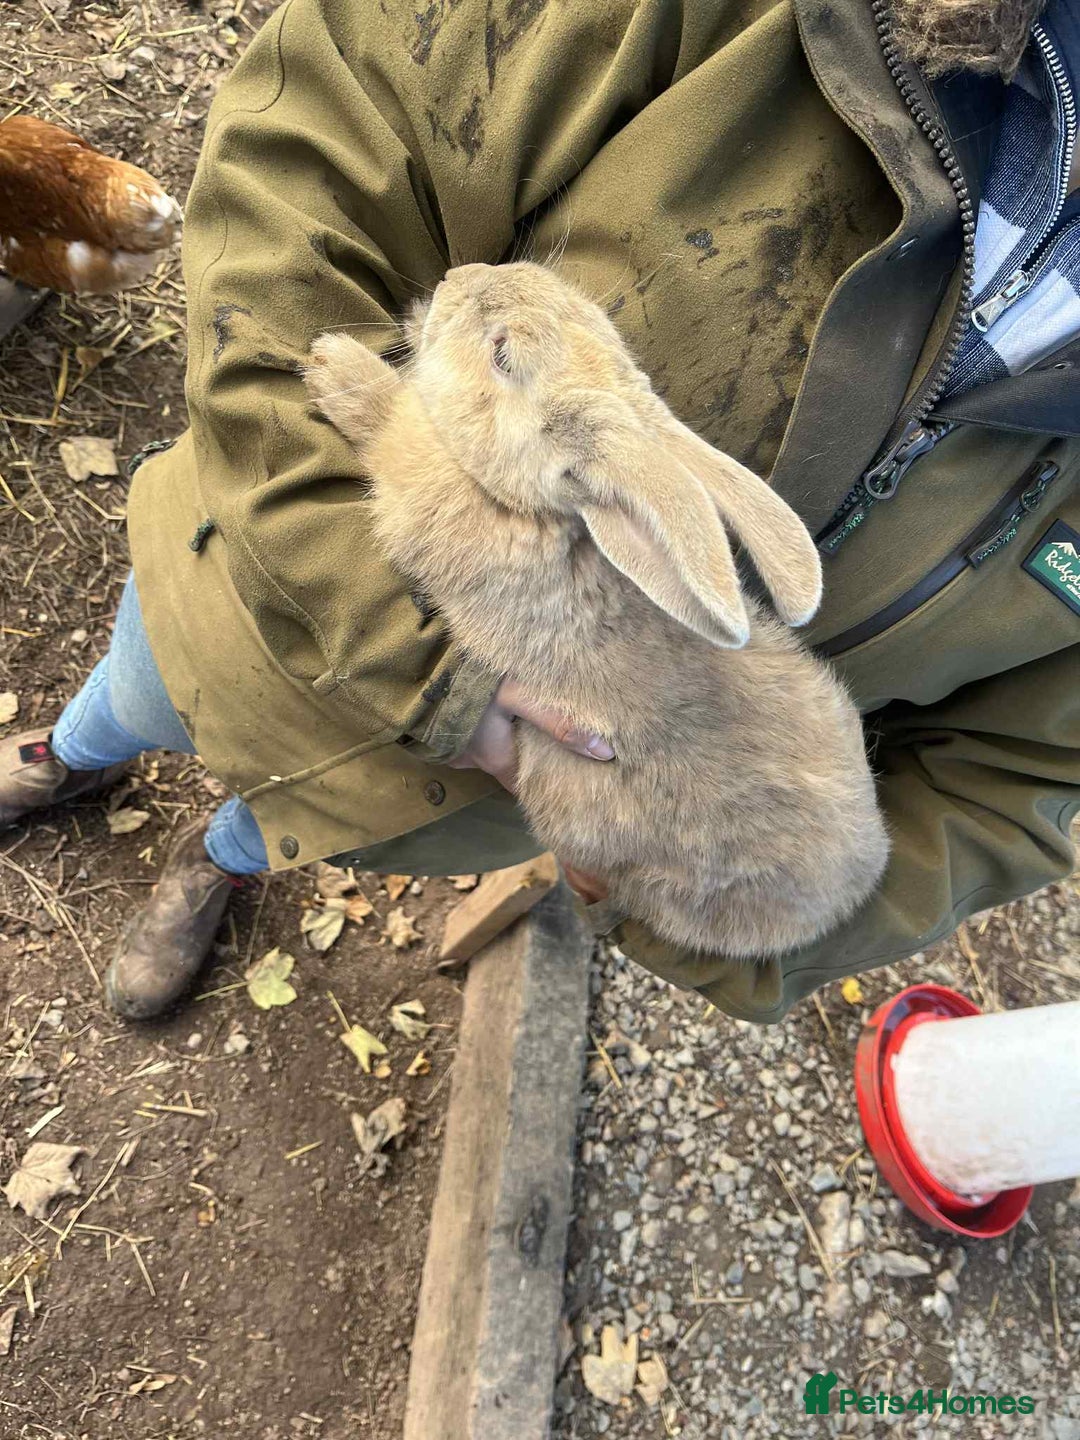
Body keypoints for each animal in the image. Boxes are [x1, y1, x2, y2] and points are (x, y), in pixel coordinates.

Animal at [304, 261, 889, 958]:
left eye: (503, 353)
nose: (456, 276)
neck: (540, 516)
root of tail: (852, 892)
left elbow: (388, 421)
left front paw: (333, 366)